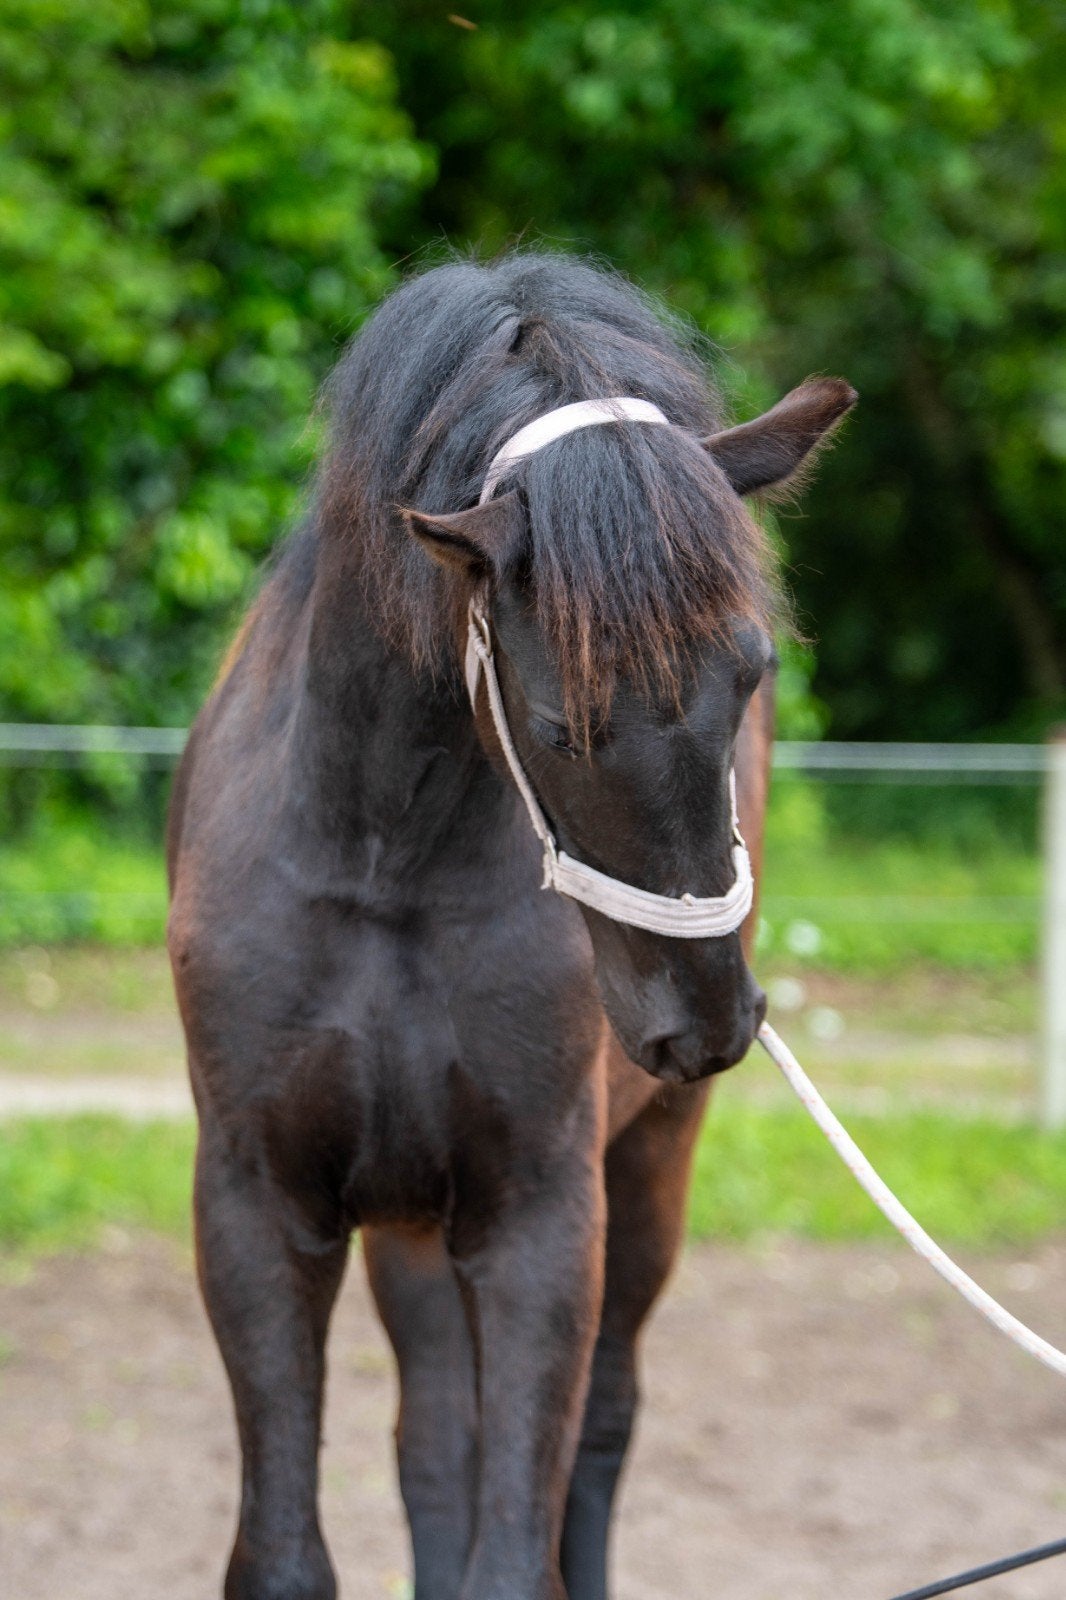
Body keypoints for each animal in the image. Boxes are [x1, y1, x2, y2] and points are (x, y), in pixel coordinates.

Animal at [166, 251, 855, 1600]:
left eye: (748, 670)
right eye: (559, 722)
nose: (707, 1016)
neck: (383, 859)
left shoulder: (542, 1217)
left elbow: (517, 1540)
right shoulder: (258, 1206)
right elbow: (298, 1547)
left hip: (643, 1174)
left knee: (599, 1429)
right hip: (413, 1222)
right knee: (436, 1433)